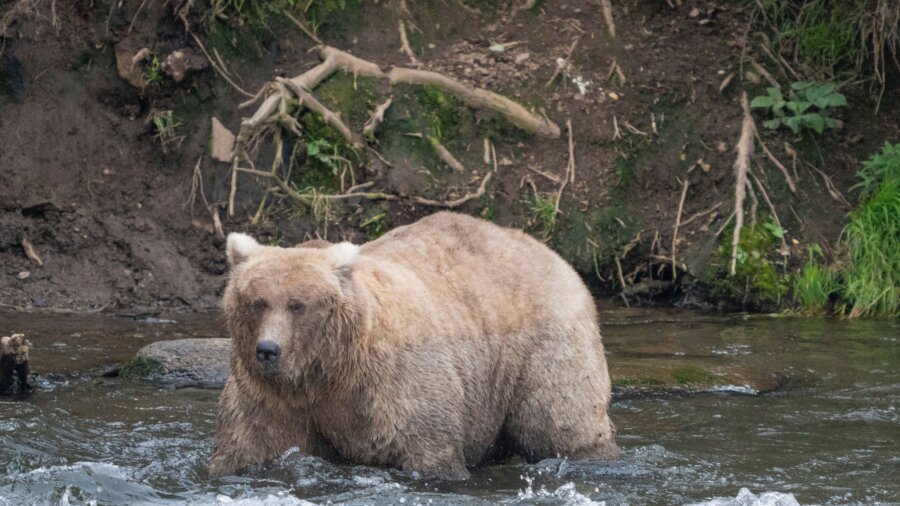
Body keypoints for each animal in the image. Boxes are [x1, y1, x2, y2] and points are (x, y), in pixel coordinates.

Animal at [209, 211, 620, 480]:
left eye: (298, 305)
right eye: (257, 301)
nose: (268, 349)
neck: (328, 371)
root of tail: (552, 254)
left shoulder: (394, 384)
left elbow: (427, 447)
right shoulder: (271, 397)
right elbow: (249, 445)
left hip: (542, 346)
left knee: (561, 421)